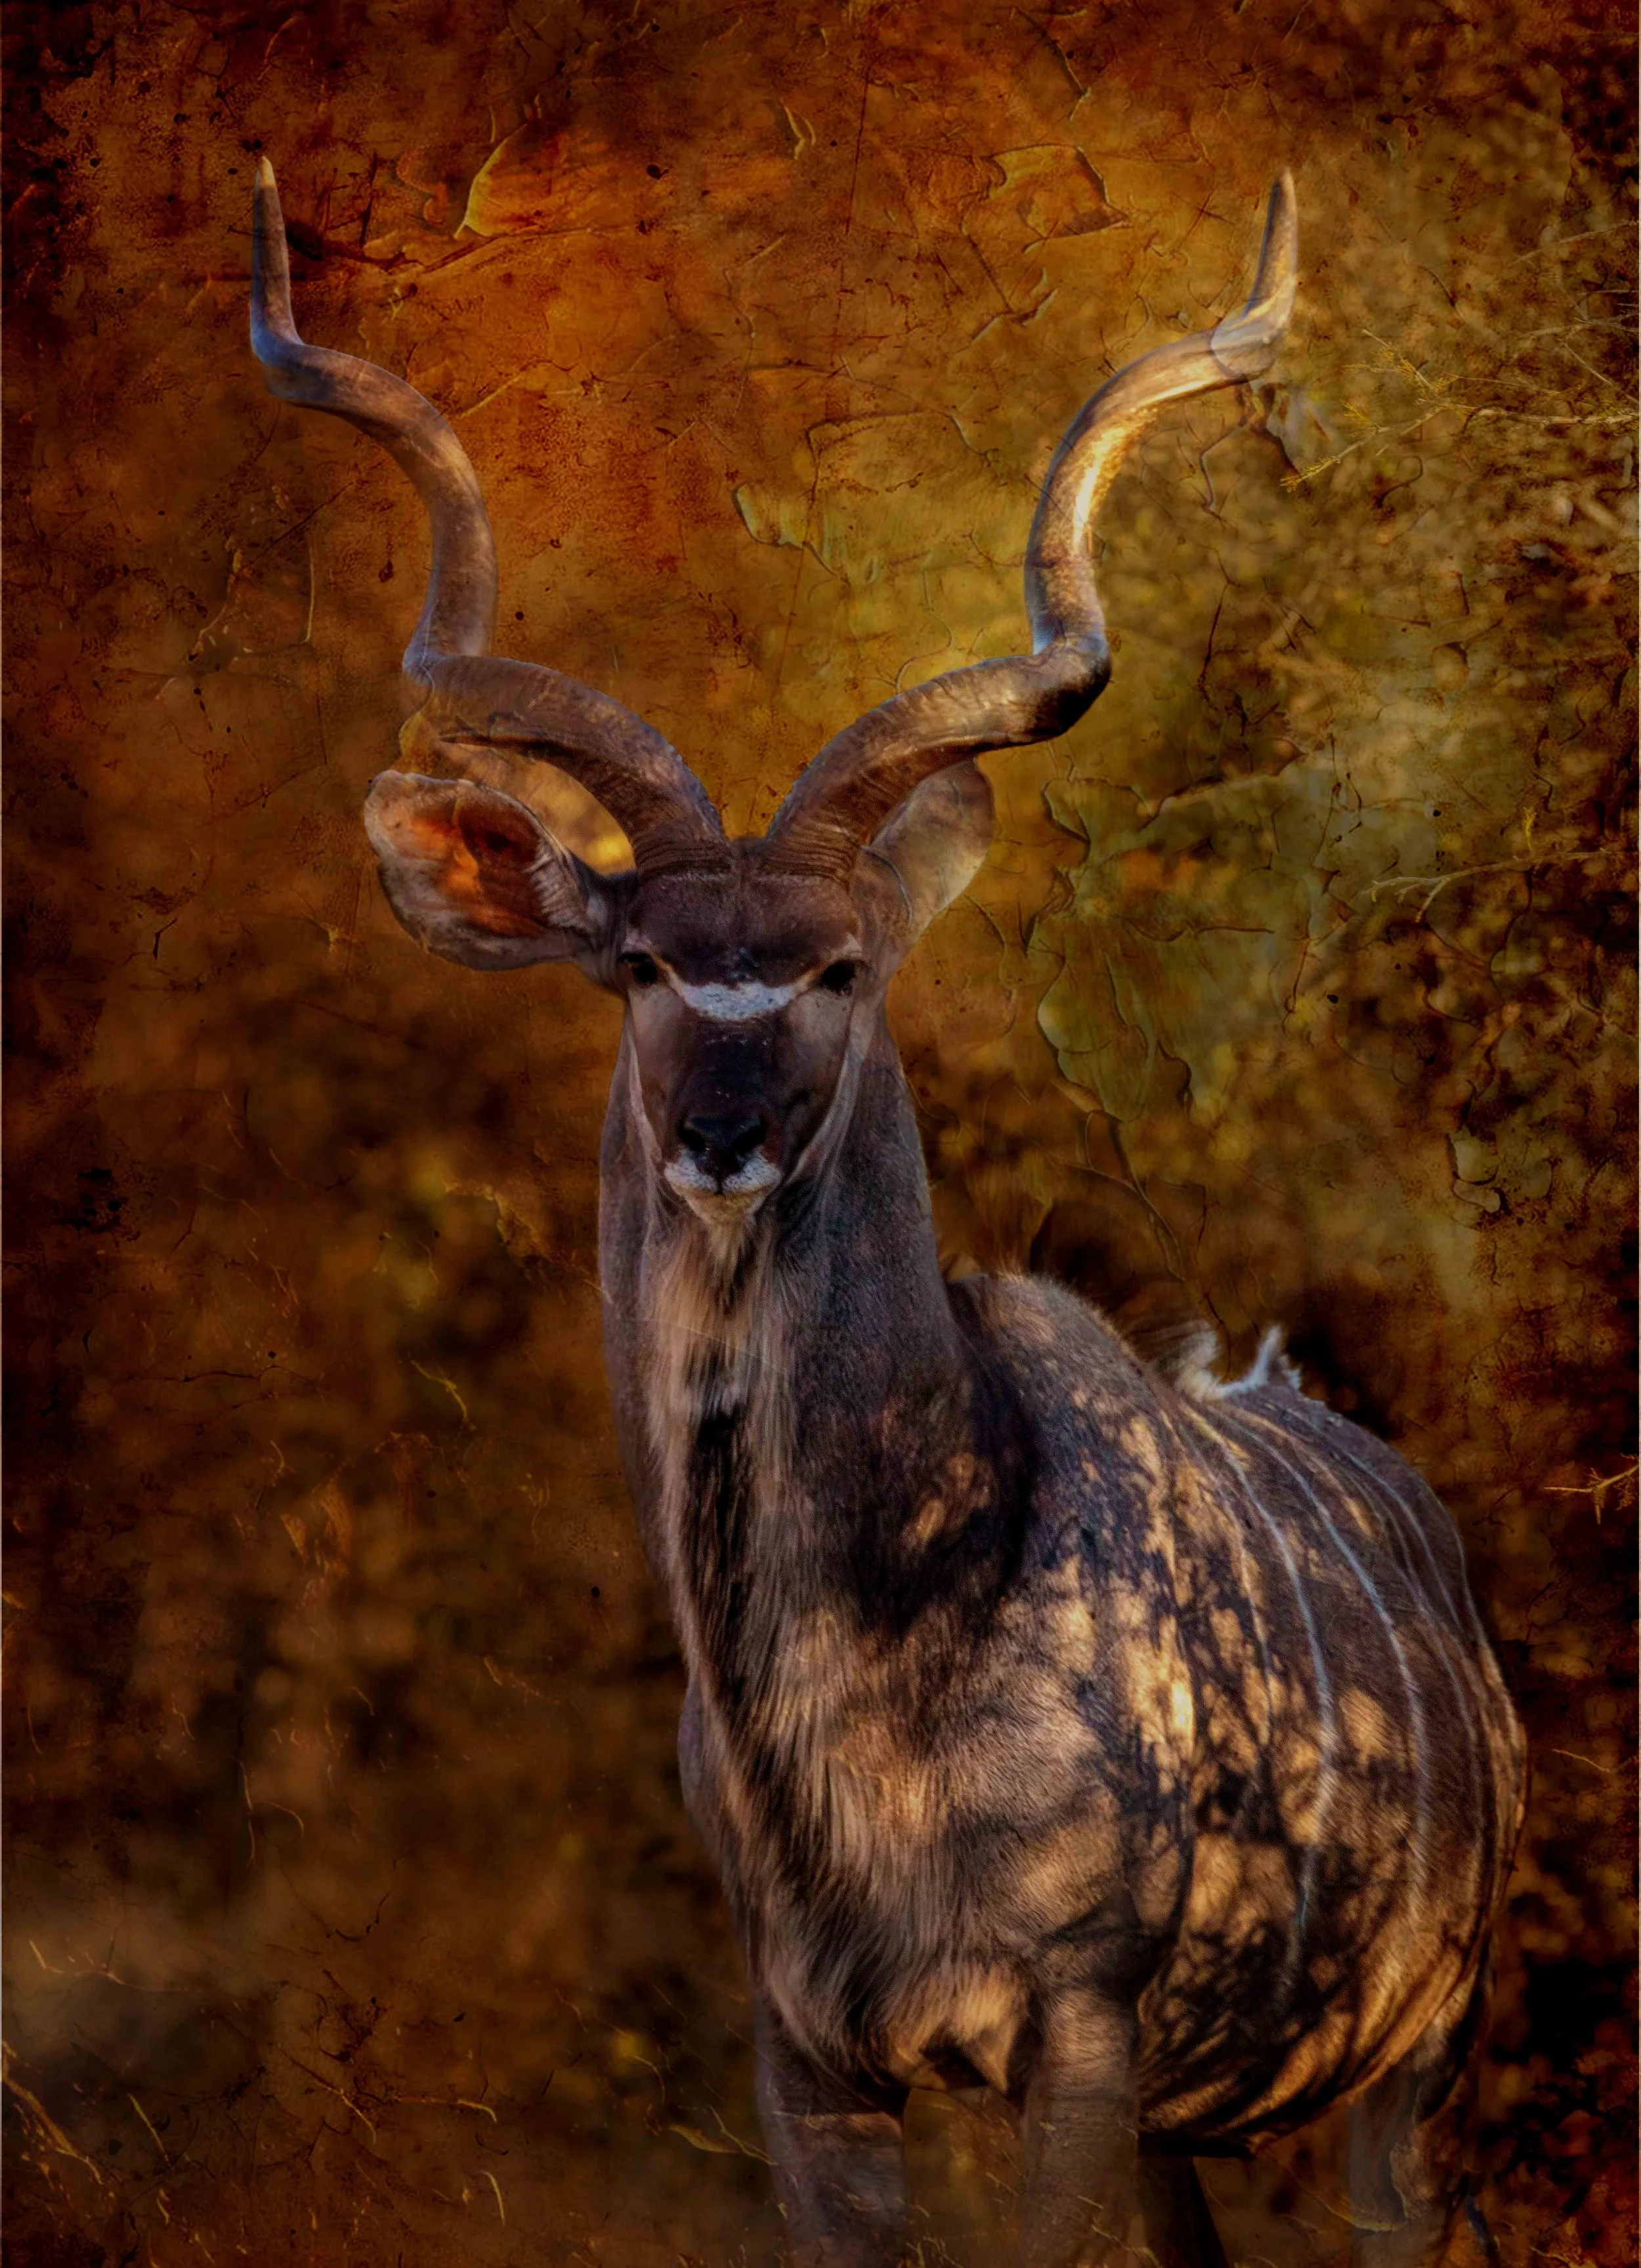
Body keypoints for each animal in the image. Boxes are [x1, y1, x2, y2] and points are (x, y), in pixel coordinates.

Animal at [249, 161, 1525, 2267]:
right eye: (638, 965)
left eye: (837, 965)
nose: (724, 1130)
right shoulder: (809, 2050)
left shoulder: (1075, 2032)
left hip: (1408, 2068)